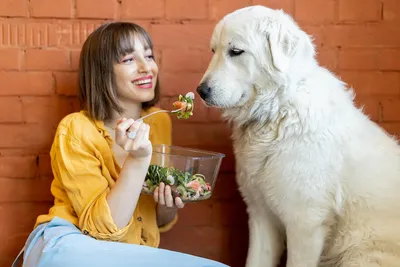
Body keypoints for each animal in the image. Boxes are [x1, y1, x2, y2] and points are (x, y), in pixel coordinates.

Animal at [196, 4, 400, 267]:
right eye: (214, 50)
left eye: (236, 51)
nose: (201, 91)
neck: (277, 111)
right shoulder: (261, 216)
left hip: (360, 256)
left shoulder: (305, 224)